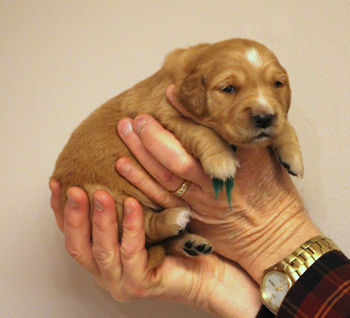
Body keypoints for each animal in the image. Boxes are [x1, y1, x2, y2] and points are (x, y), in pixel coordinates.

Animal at [52, 38, 304, 268]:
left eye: (278, 84)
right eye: (229, 88)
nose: (264, 118)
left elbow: (285, 125)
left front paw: (293, 156)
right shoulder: (166, 114)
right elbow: (201, 131)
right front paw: (222, 161)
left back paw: (191, 244)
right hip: (106, 197)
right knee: (146, 228)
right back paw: (175, 219)